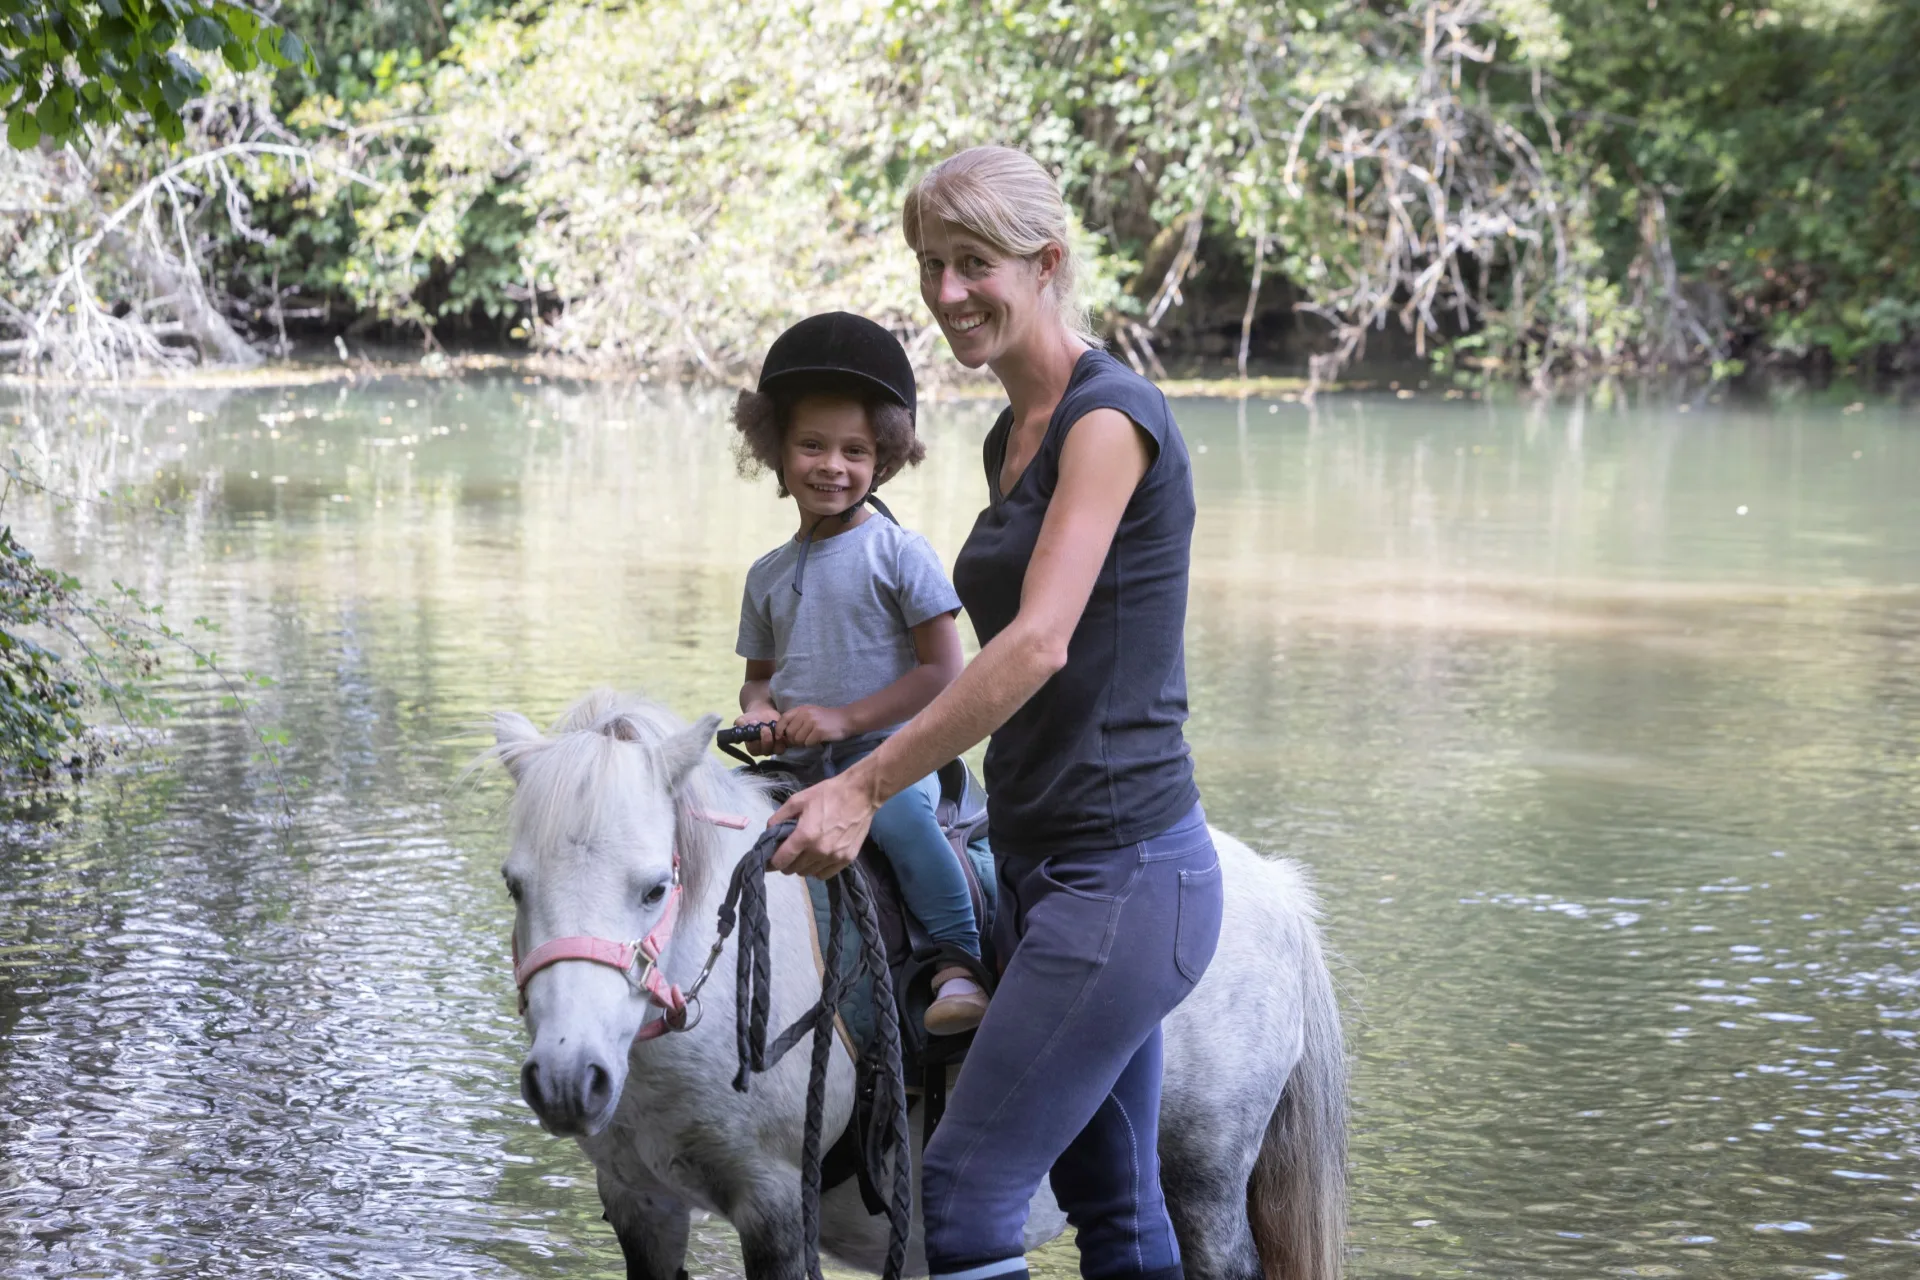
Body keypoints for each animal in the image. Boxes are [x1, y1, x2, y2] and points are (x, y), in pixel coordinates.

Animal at [487, 694, 1344, 1280]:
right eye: (514, 884)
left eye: (655, 888)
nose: (567, 1078)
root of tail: (1275, 890)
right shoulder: (640, 1203)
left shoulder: (775, 1204)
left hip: (1205, 1179)